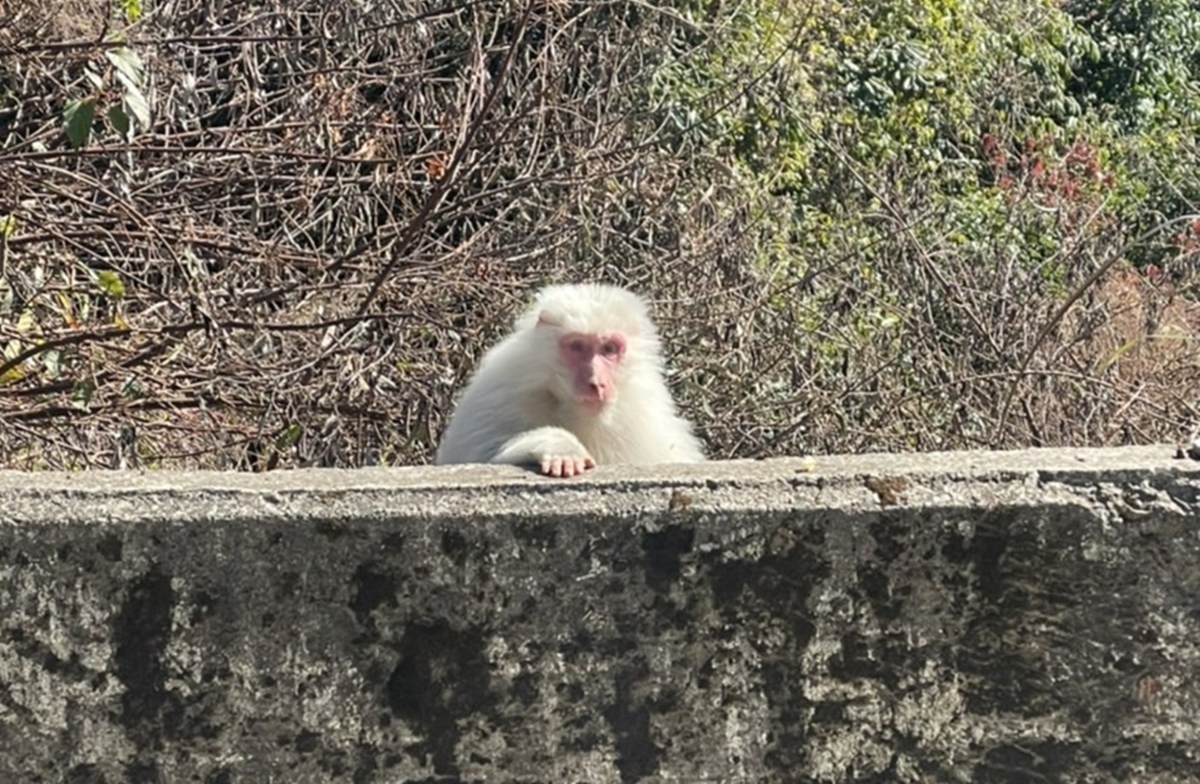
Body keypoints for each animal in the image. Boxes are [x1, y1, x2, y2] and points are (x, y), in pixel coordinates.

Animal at [439, 283, 700, 477]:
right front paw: (560, 448)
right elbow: (474, 457)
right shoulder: (503, 390)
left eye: (609, 349)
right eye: (577, 346)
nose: (596, 382)